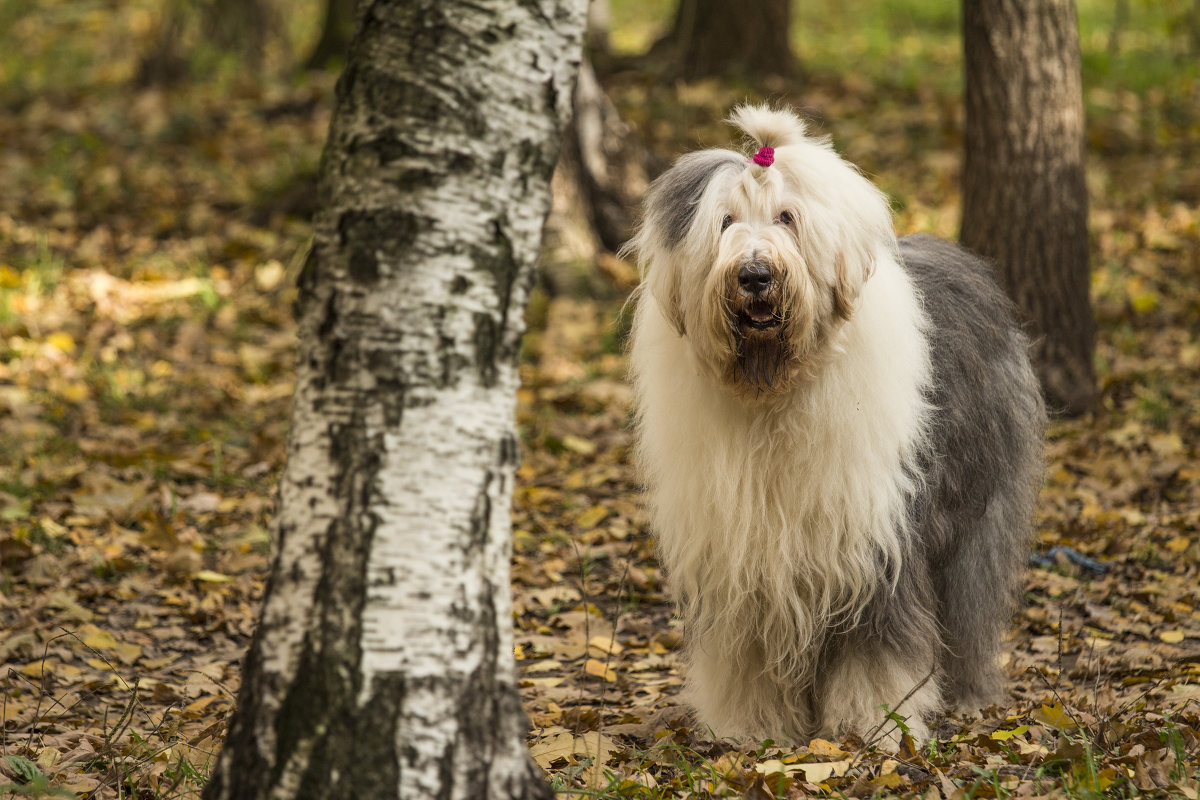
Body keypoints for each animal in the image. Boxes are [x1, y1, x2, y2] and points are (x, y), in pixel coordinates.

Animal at [624, 103, 1046, 748]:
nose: (754, 275)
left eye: (787, 218)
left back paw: (970, 694)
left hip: (978, 509)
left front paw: (879, 725)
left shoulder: (876, 537)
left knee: (970, 602)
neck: (773, 389)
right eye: (724, 222)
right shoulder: (739, 554)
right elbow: (746, 653)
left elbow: (876, 645)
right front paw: (750, 728)